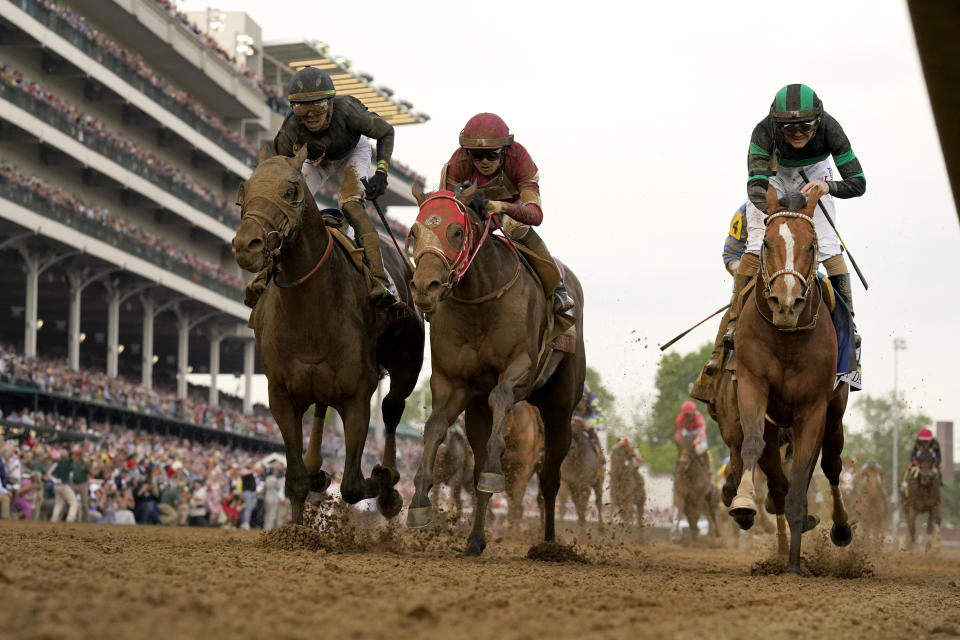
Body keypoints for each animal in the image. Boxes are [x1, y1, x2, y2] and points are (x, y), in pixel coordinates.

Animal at [231, 145, 422, 524]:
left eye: (291, 191)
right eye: (244, 190)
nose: (247, 245)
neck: (309, 310)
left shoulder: (357, 395)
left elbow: (352, 486)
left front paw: (385, 483)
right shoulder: (281, 395)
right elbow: (295, 480)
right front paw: (296, 525)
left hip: (407, 364)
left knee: (392, 408)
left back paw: (389, 482)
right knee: (321, 409)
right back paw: (317, 466)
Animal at [404, 185, 584, 556]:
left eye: (456, 232)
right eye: (414, 232)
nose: (425, 287)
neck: (479, 301)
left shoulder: (521, 368)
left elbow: (501, 397)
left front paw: (492, 468)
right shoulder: (452, 382)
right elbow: (434, 427)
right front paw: (419, 502)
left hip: (560, 408)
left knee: (550, 478)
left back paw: (549, 545)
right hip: (476, 411)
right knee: (476, 473)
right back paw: (475, 539)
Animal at [724, 188, 852, 572]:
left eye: (812, 246)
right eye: (766, 243)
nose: (786, 302)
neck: (787, 338)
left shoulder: (813, 407)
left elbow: (805, 476)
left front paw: (794, 565)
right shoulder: (752, 383)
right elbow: (752, 444)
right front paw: (744, 502)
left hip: (834, 414)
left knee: (831, 466)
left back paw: (839, 528)